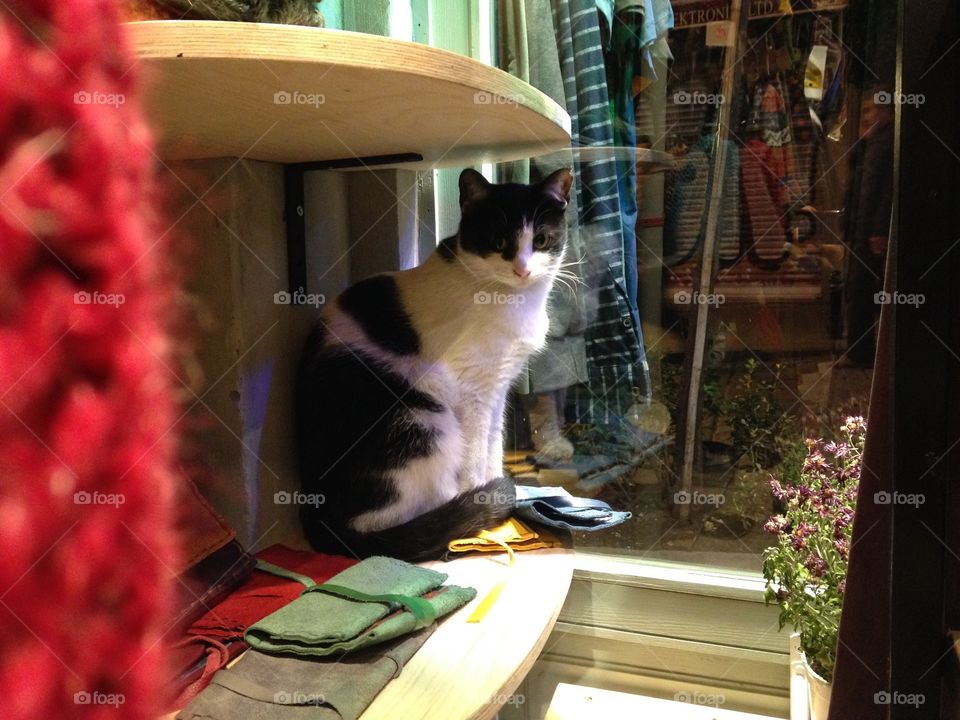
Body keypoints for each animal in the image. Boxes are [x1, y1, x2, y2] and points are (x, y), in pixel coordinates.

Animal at [296, 169, 572, 564]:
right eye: (498, 239)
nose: (522, 269)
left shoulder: (497, 389)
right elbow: (476, 454)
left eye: (541, 239)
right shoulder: (472, 391)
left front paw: (496, 491)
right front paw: (485, 502)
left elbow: (494, 442)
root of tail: (319, 516)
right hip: (424, 422)